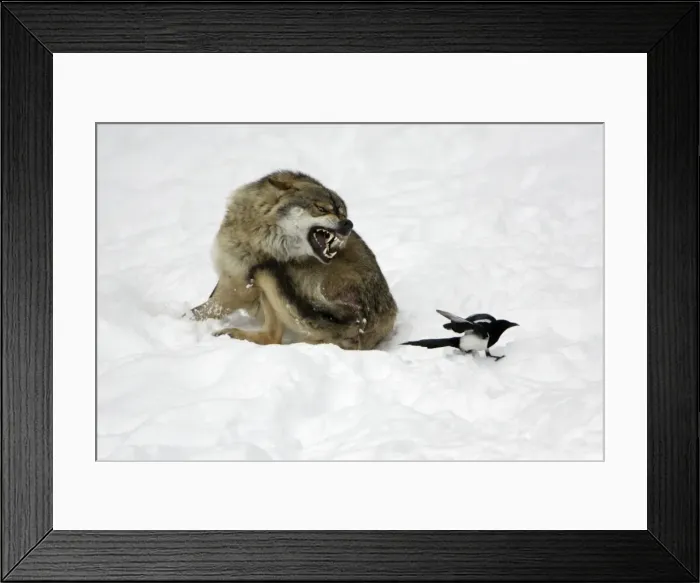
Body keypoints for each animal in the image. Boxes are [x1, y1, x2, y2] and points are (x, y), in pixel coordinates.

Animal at [189, 170, 398, 350]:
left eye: (342, 213)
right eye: (321, 208)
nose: (348, 224)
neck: (259, 232)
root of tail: (362, 319)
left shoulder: (236, 289)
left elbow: (196, 313)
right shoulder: (226, 281)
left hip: (270, 279)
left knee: (273, 337)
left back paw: (231, 333)